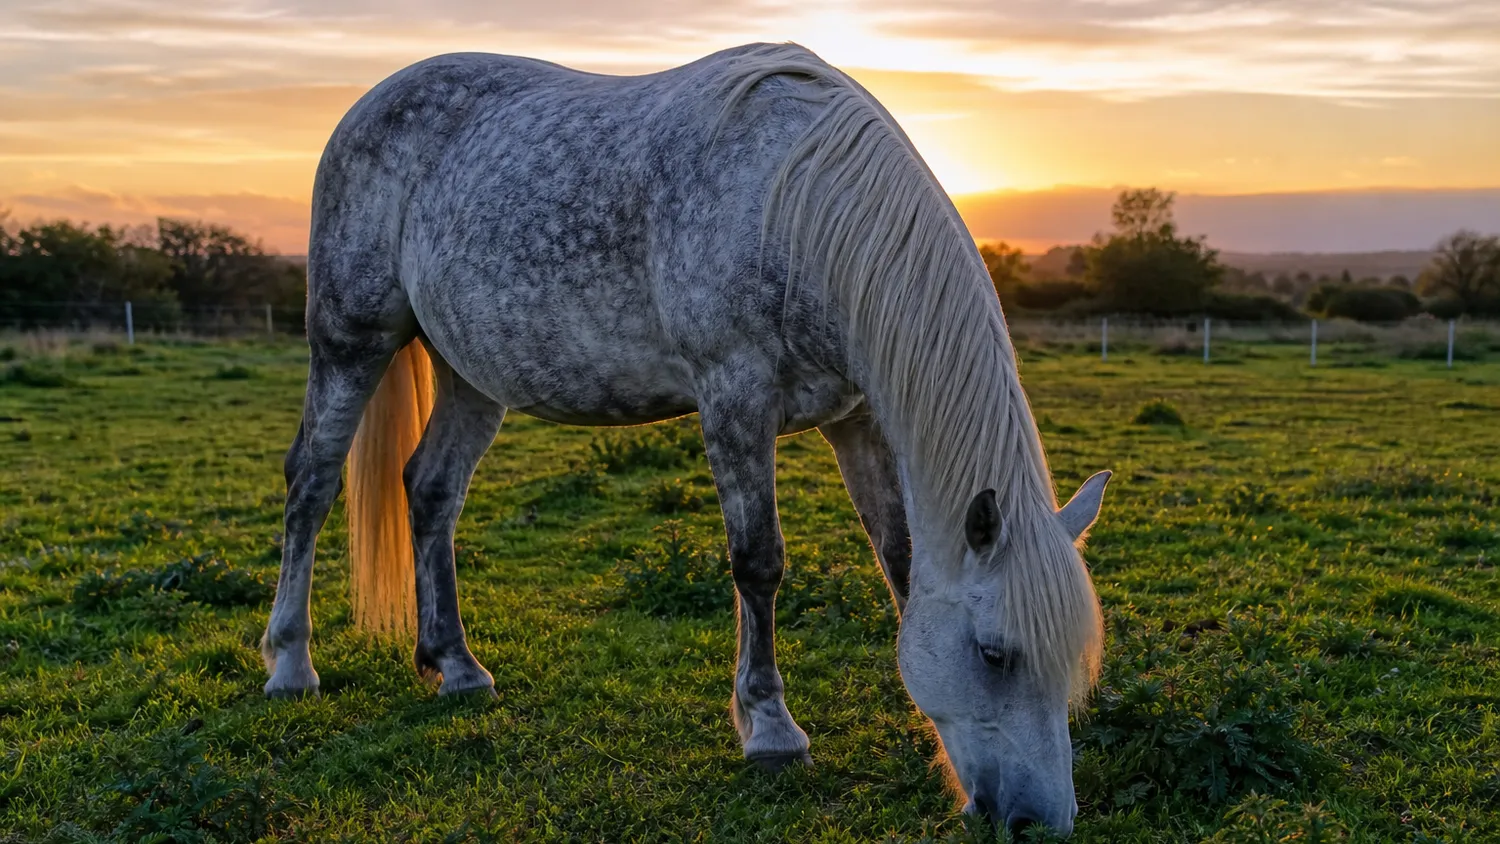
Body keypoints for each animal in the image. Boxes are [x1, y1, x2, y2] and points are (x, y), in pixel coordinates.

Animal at [259, 42, 1110, 835]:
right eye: (994, 653)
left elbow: (899, 562)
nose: (1040, 821)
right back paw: (291, 663)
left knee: (431, 490)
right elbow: (759, 562)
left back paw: (456, 666)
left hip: (469, 372)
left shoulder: (858, 417)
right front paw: (770, 728)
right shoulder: (734, 396)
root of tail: (370, 105)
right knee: (313, 483)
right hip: (351, 340)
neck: (795, 204)